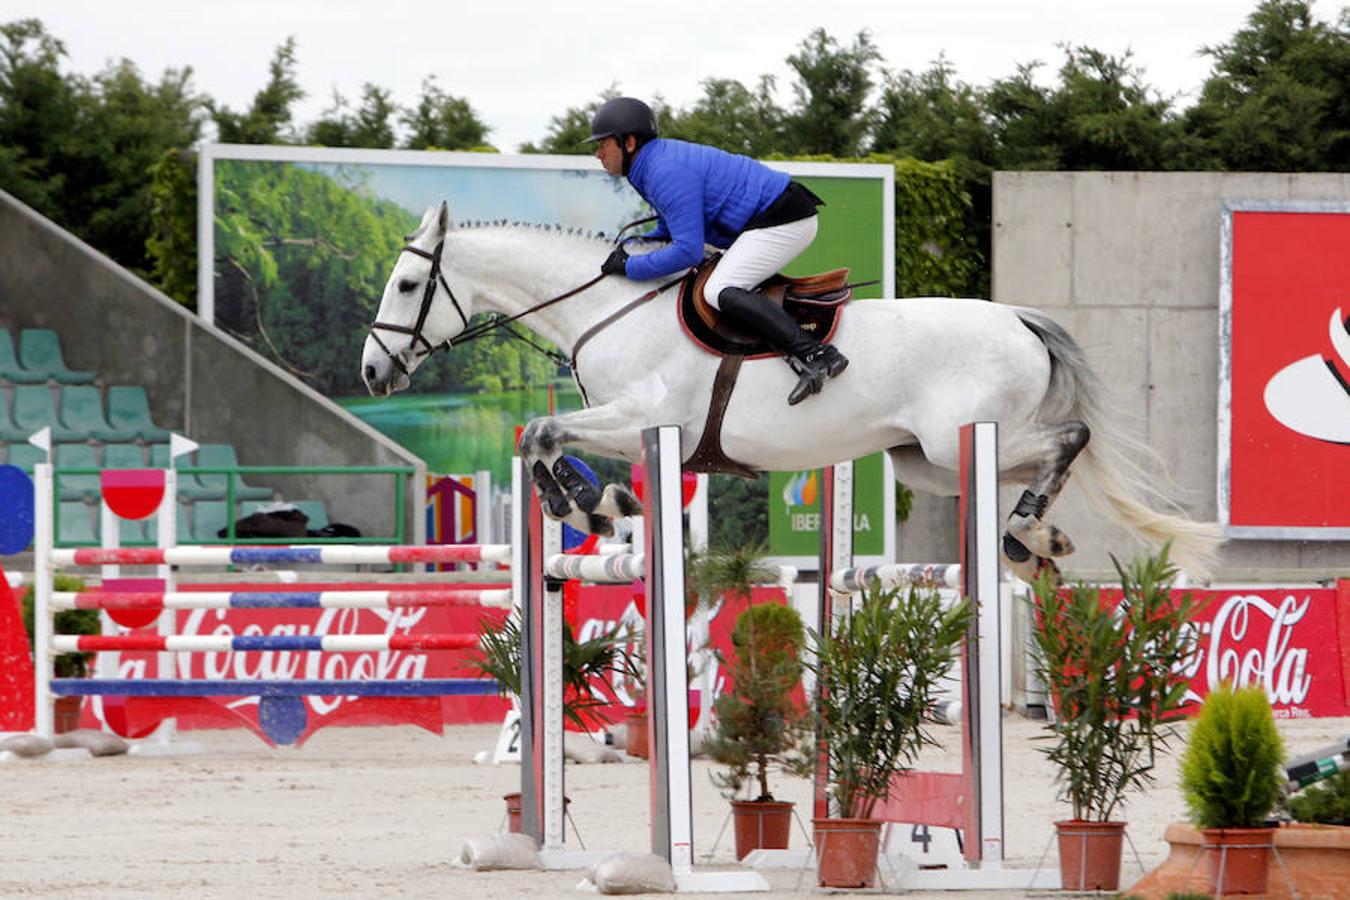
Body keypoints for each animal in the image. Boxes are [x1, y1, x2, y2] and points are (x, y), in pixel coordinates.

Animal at [364, 205, 1220, 580]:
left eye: (406, 284)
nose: (374, 372)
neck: (608, 305)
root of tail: (1017, 316)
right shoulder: (635, 428)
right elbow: (539, 438)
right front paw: (600, 503)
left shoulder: (647, 418)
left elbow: (540, 432)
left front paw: (587, 505)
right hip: (931, 462)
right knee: (1040, 457)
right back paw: (1031, 536)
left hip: (964, 440)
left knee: (1069, 438)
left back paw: (1030, 531)